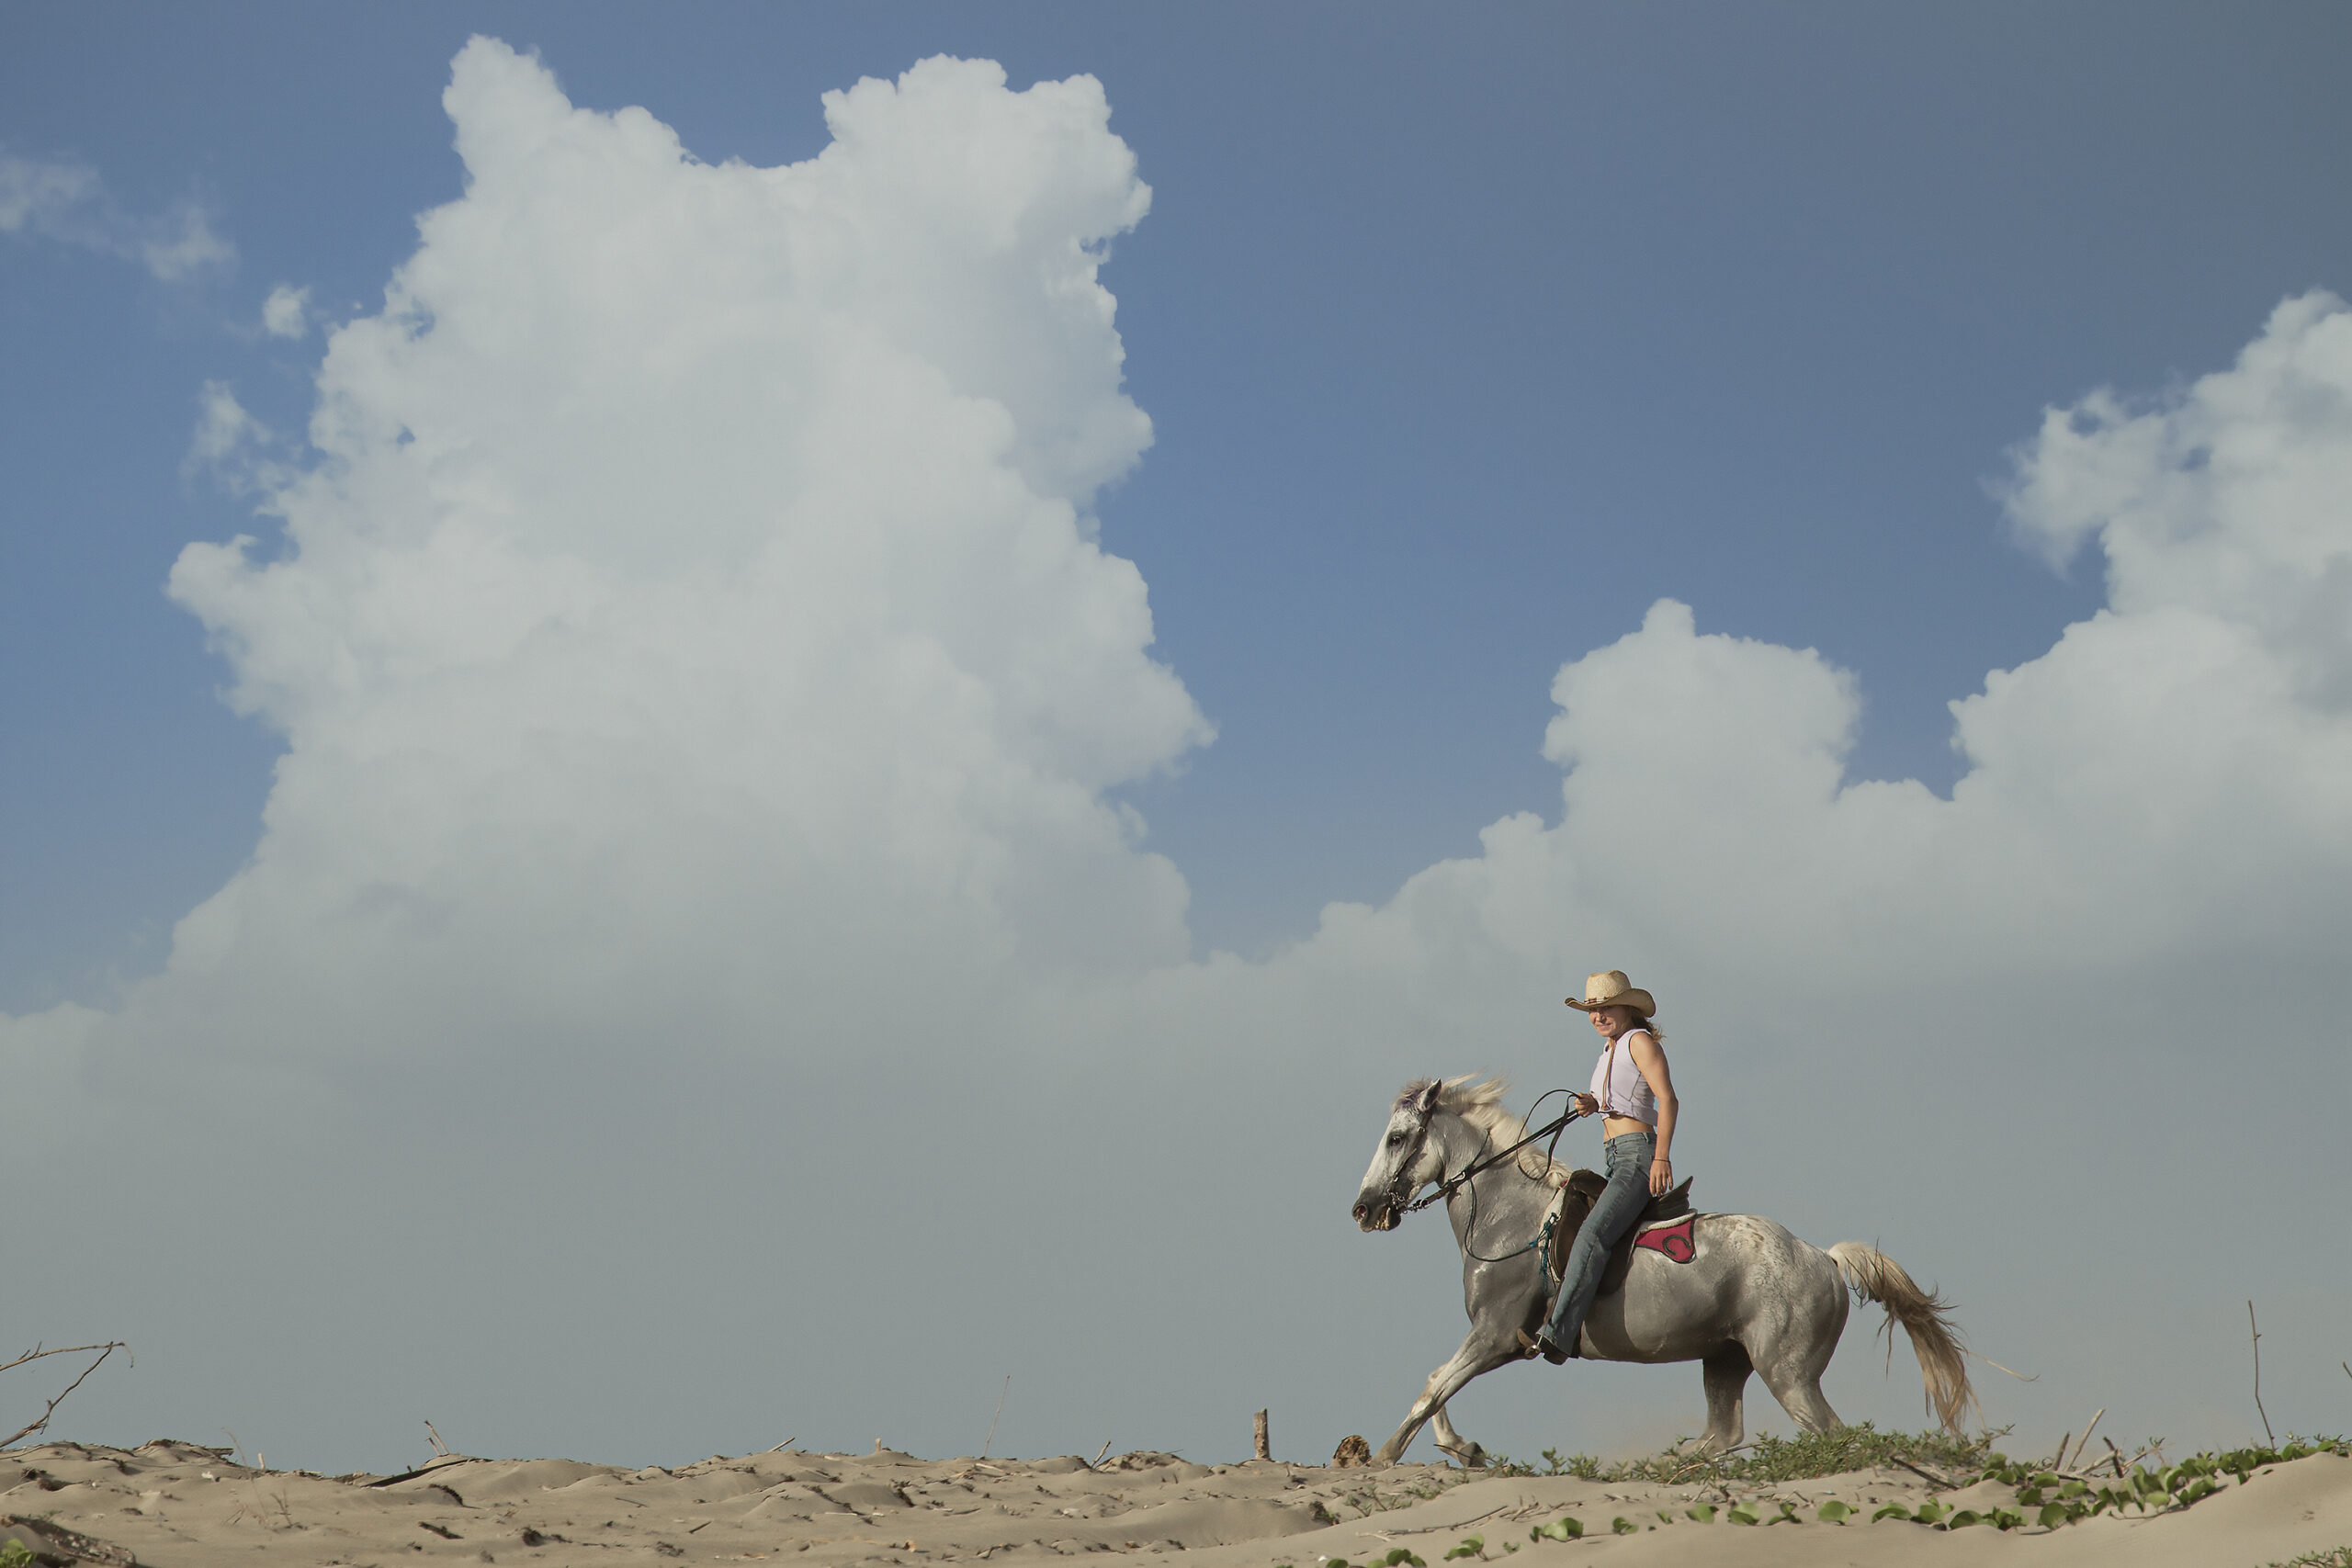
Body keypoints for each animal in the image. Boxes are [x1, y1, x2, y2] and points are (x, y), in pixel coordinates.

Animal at [1354, 1081, 1975, 1476]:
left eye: (1396, 1137)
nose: (1363, 1209)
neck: (1513, 1219)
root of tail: (1824, 1258)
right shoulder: (1499, 1342)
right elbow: (1436, 1385)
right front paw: (1466, 1449)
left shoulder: (1495, 1334)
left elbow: (1433, 1387)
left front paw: (1384, 1455)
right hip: (1726, 1359)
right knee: (1724, 1434)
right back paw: (1657, 1466)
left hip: (1789, 1374)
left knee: (1834, 1436)